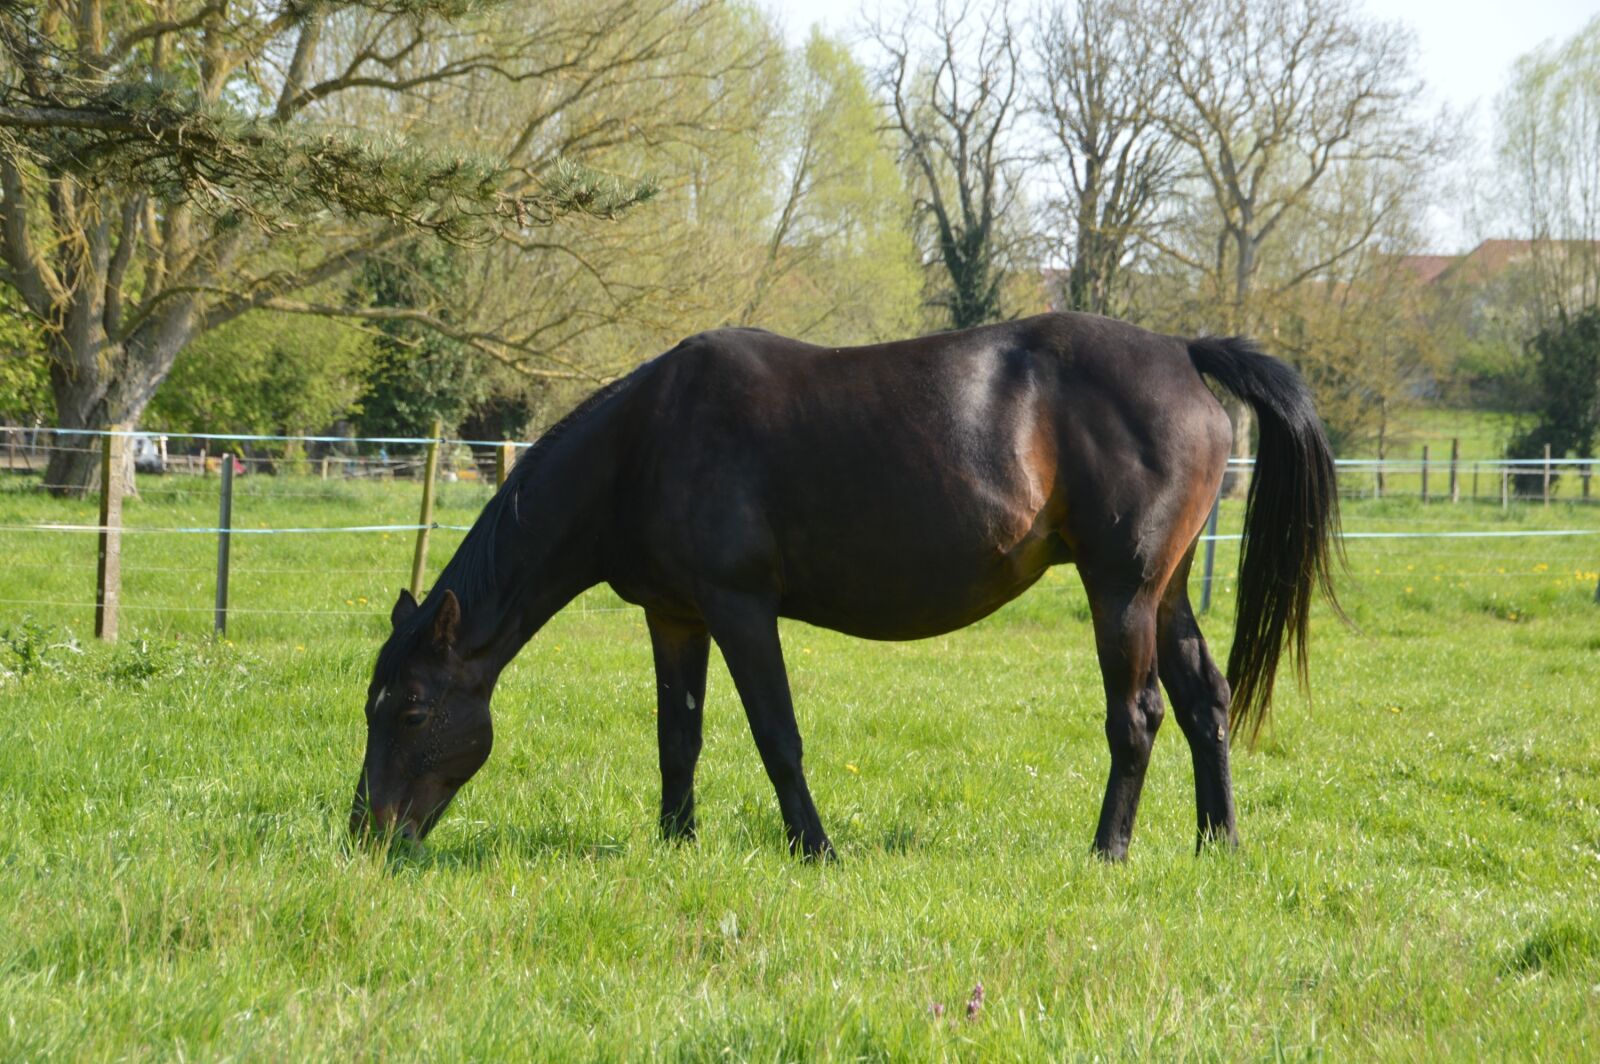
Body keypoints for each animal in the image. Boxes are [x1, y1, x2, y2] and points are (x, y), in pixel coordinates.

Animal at [349, 311, 1339, 861]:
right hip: (1163, 593)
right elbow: (679, 737)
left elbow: (776, 736)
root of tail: (1181, 350)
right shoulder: (676, 616)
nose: (366, 835)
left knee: (1137, 717)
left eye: (411, 710)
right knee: (1206, 701)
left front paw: (814, 848)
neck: (646, 442)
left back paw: (1108, 850)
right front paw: (676, 843)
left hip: (1121, 591)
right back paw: (1219, 844)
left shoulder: (740, 608)